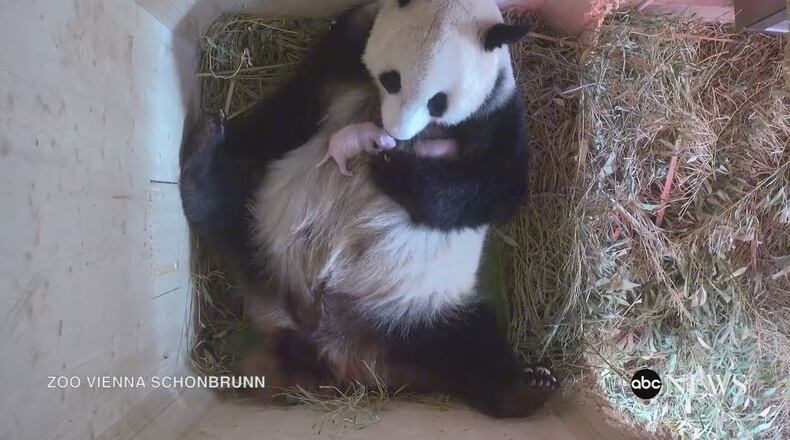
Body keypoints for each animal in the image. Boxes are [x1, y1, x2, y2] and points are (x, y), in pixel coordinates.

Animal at [180, 0, 558, 418]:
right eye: (393, 79)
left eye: (438, 100)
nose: (395, 134)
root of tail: (319, 337)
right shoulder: (345, 48)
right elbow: (291, 109)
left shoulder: (498, 114)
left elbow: (495, 189)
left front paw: (393, 167)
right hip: (265, 227)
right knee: (229, 207)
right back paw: (204, 156)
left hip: (416, 312)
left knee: (470, 351)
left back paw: (526, 386)